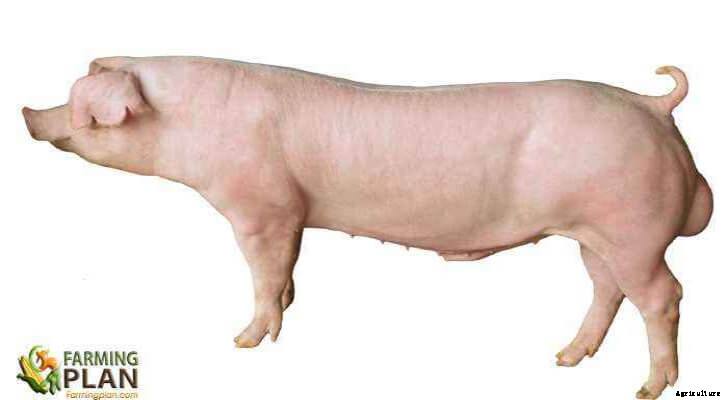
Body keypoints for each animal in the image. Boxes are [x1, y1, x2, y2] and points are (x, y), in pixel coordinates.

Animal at [23, 56, 712, 399]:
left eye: (83, 107)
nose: (29, 113)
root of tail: (652, 106)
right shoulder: (293, 216)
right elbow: (286, 269)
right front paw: (284, 315)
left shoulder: (260, 207)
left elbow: (261, 269)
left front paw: (245, 342)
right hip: (599, 235)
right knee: (607, 289)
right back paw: (566, 358)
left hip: (634, 227)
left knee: (664, 296)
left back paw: (648, 388)